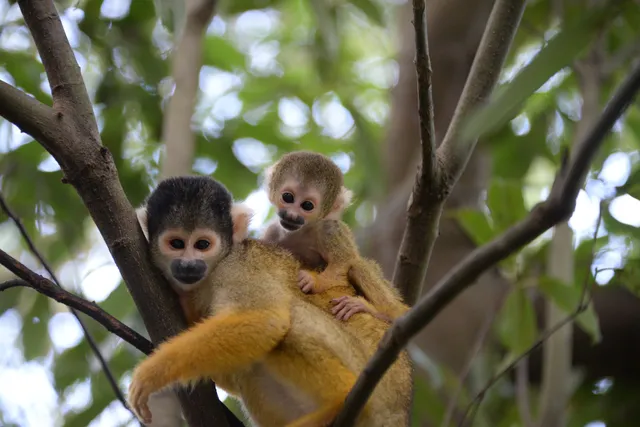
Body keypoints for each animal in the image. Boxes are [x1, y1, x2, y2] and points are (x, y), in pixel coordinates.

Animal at [128, 176, 411, 427]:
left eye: (202, 244)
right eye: (176, 243)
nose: (188, 265)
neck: (213, 271)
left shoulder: (240, 267)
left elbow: (265, 321)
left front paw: (152, 372)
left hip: (374, 384)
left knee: (292, 320)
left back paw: (339, 397)